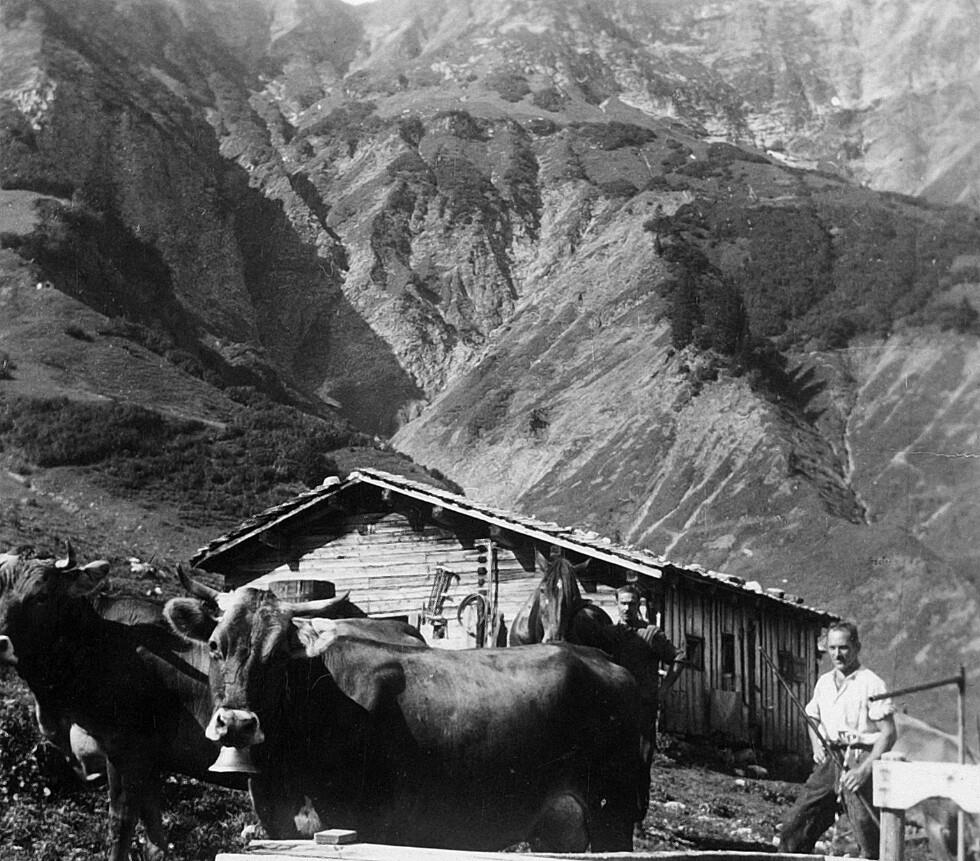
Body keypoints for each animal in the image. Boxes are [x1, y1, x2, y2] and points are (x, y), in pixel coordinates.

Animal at [164, 583, 649, 853]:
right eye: (214, 645)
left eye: (280, 653)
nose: (237, 724)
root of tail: (607, 662)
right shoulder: (282, 828)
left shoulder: (368, 829)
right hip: (558, 823)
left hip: (614, 812)